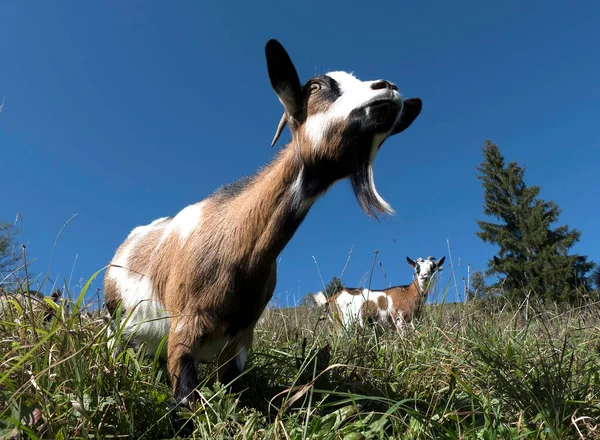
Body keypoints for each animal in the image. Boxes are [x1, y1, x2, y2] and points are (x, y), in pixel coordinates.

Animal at [103, 39, 422, 408]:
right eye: (316, 87)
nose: (389, 87)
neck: (238, 243)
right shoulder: (183, 330)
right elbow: (184, 401)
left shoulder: (240, 340)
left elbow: (234, 394)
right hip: (115, 325)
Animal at [312, 254, 442, 334]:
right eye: (417, 268)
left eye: (433, 267)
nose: (424, 276)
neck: (408, 292)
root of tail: (330, 299)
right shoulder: (400, 320)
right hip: (343, 322)